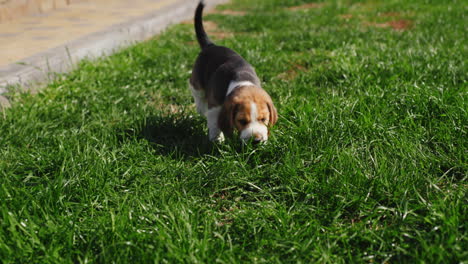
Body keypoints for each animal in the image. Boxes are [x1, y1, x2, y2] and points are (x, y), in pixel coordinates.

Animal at [190, 0, 278, 144]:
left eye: (263, 119)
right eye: (242, 121)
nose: (256, 141)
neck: (242, 81)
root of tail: (211, 45)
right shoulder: (214, 107)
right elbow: (214, 124)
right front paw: (217, 140)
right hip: (196, 81)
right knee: (197, 93)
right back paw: (201, 107)